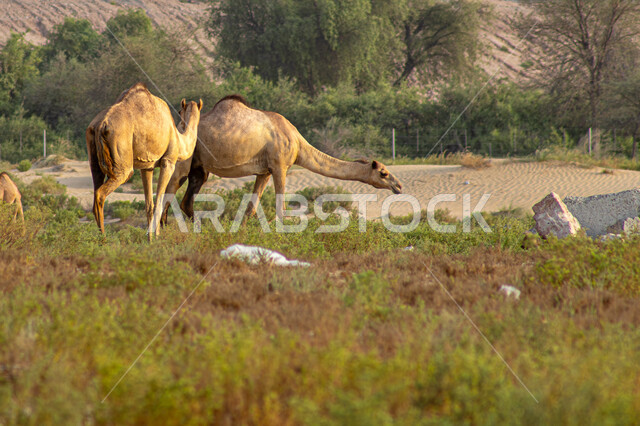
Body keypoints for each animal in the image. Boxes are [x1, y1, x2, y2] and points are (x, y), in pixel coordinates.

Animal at [86, 82, 202, 239]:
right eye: (179, 110)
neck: (179, 139)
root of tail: (100, 125)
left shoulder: (147, 166)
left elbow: (149, 205)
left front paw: (150, 239)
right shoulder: (168, 162)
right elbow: (159, 201)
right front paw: (158, 238)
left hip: (93, 158)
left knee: (95, 189)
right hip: (123, 164)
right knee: (101, 194)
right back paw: (103, 240)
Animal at [160, 94, 402, 223]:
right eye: (384, 173)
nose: (399, 186)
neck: (298, 143)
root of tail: (177, 127)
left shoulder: (264, 171)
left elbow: (251, 207)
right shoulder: (280, 166)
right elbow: (281, 205)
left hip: (200, 166)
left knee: (187, 199)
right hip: (184, 159)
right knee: (170, 187)